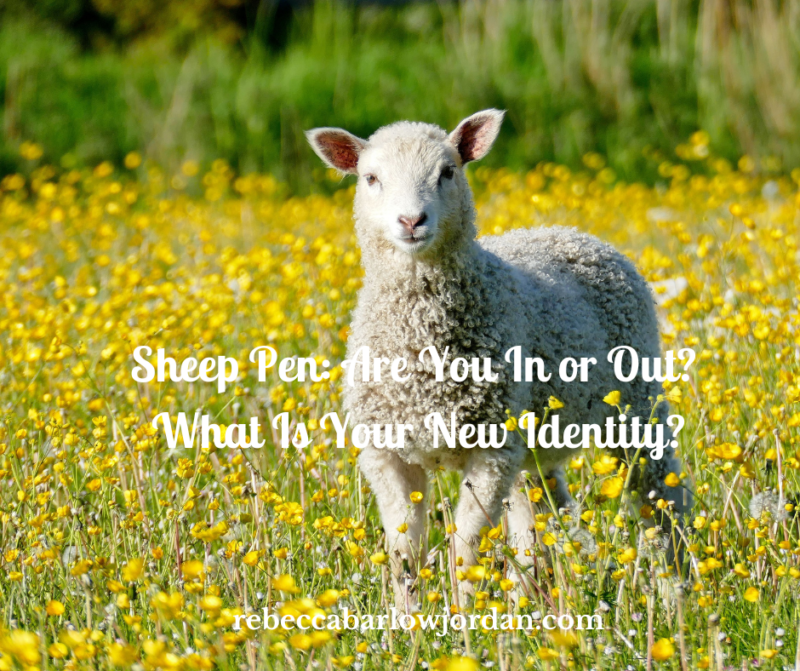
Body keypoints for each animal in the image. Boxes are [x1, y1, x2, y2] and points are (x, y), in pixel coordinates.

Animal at [306, 110, 690, 610]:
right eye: (371, 178)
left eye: (448, 171)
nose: (411, 220)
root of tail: (571, 233)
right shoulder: (386, 451)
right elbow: (405, 550)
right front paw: (408, 619)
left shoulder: (492, 449)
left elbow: (466, 546)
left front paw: (464, 615)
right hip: (536, 438)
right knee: (543, 514)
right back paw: (542, 601)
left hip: (635, 402)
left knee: (660, 496)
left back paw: (680, 594)